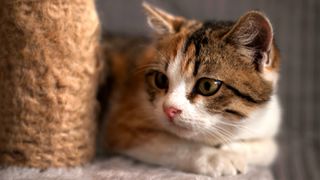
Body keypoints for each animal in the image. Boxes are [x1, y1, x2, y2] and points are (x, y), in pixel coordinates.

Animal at [102, 2, 280, 177]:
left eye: (207, 86)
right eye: (160, 80)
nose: (169, 109)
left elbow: (270, 148)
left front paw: (234, 149)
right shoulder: (122, 124)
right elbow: (174, 144)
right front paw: (218, 157)